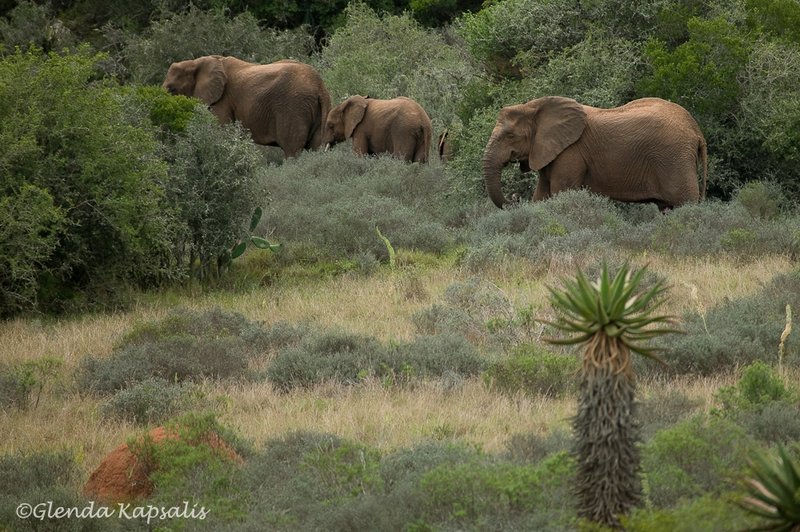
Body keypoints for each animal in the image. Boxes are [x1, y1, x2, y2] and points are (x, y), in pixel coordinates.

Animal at [162, 55, 331, 158]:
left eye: (172, 89)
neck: (195, 62)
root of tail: (320, 86)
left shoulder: (222, 101)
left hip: (293, 107)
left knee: (292, 150)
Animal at [483, 96, 707, 210]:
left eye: (510, 135)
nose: (514, 197)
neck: (533, 106)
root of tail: (696, 130)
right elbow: (541, 196)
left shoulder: (571, 152)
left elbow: (561, 193)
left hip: (674, 158)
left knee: (684, 203)